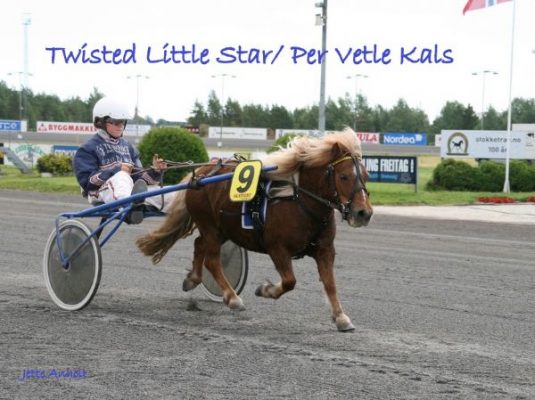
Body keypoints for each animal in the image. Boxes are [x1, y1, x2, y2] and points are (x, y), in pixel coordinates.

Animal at [136, 128, 373, 331]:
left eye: (366, 175)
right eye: (344, 176)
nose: (364, 213)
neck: (299, 202)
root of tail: (201, 173)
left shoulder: (325, 250)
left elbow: (330, 283)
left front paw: (341, 317)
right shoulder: (277, 248)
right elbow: (290, 281)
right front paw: (265, 289)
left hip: (222, 229)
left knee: (199, 245)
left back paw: (193, 279)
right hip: (210, 226)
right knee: (211, 260)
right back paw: (232, 298)